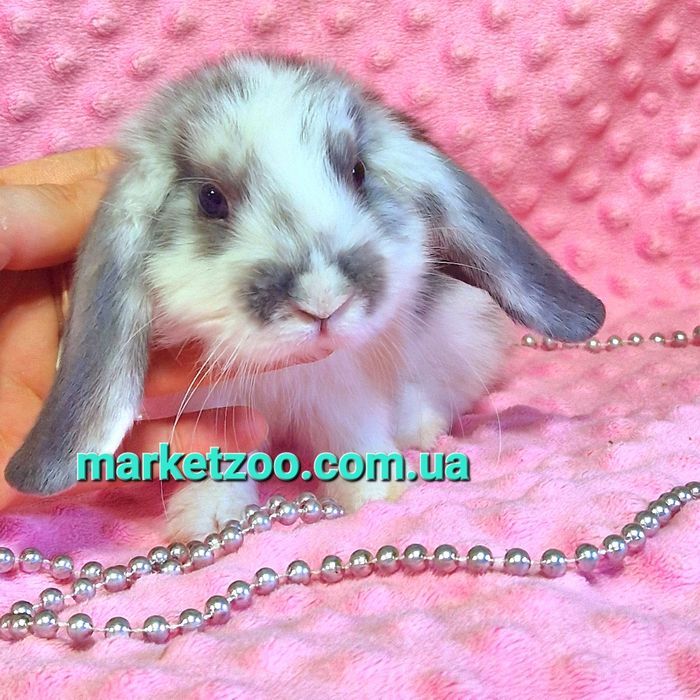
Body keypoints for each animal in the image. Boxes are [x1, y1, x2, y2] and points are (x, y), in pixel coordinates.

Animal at [4, 54, 605, 539]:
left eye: (358, 172)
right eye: (211, 199)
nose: (322, 301)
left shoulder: (343, 386)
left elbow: (353, 434)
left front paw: (377, 493)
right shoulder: (211, 414)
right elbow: (218, 460)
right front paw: (205, 518)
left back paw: (420, 428)